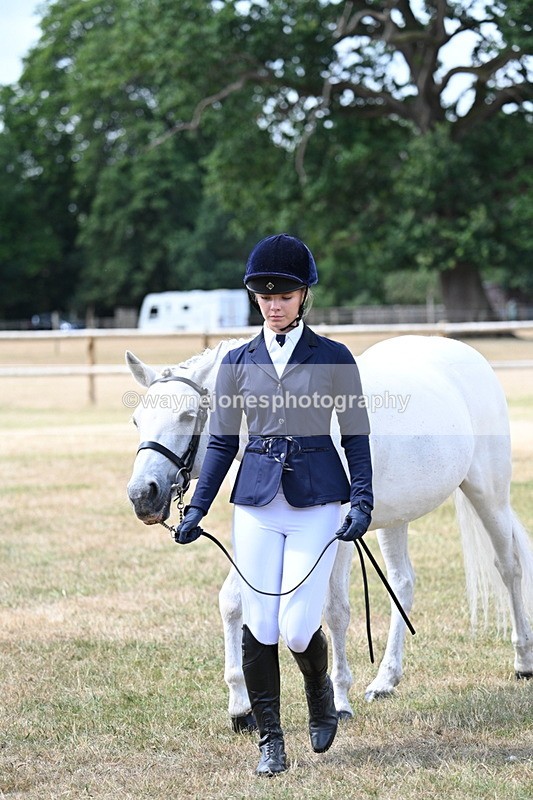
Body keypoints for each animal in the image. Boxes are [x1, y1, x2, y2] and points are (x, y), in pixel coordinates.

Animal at [126, 334, 533, 731]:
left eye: (187, 415)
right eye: (136, 420)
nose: (142, 494)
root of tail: (467, 354)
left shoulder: (339, 537)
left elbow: (335, 610)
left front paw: (339, 703)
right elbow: (233, 601)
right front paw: (241, 708)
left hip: (489, 495)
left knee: (509, 566)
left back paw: (523, 662)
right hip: (395, 518)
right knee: (403, 583)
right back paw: (385, 680)